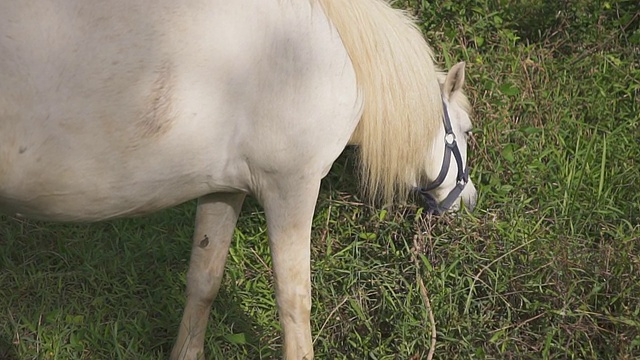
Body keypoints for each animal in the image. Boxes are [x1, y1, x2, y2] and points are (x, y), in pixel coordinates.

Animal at [0, 0, 478, 358]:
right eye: (467, 130)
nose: (468, 199)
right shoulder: (293, 187)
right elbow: (294, 299)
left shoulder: (222, 190)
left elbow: (203, 282)